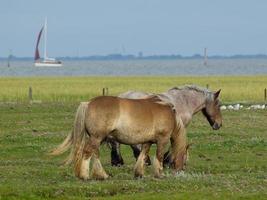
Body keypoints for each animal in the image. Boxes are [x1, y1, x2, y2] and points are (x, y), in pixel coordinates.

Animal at [50, 95, 188, 180]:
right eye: (186, 157)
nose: (181, 171)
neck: (170, 114)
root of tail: (88, 103)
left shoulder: (147, 142)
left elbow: (143, 155)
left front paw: (139, 173)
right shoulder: (162, 140)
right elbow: (159, 156)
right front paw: (160, 174)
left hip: (97, 139)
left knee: (94, 154)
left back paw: (101, 175)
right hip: (96, 138)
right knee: (88, 153)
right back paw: (85, 176)